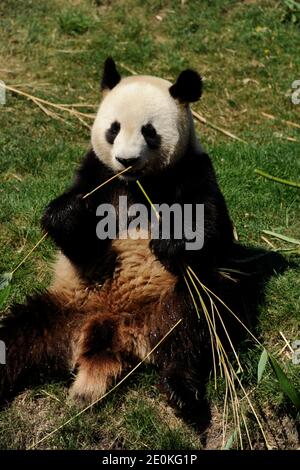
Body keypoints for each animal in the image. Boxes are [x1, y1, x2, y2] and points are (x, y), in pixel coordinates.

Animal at [0, 57, 246, 422]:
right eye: (113, 129)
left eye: (149, 131)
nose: (126, 160)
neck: (135, 182)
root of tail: (108, 329)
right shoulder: (96, 172)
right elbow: (70, 229)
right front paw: (72, 214)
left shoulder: (193, 170)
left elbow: (213, 229)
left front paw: (171, 241)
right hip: (61, 309)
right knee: (14, 337)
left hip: (169, 301)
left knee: (193, 326)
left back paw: (181, 390)